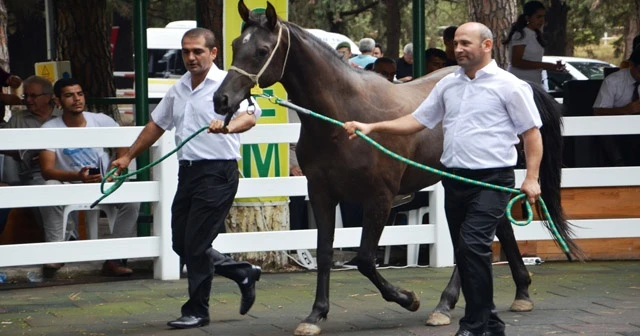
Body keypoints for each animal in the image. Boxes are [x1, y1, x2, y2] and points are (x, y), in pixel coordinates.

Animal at [212, 1, 584, 334]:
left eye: (262, 50)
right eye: (234, 45)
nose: (221, 99)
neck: (339, 117)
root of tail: (518, 85)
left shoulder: (379, 198)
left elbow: (364, 258)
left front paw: (408, 298)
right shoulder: (321, 193)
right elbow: (324, 252)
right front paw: (315, 315)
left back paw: (445, 305)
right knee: (496, 230)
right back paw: (517, 292)